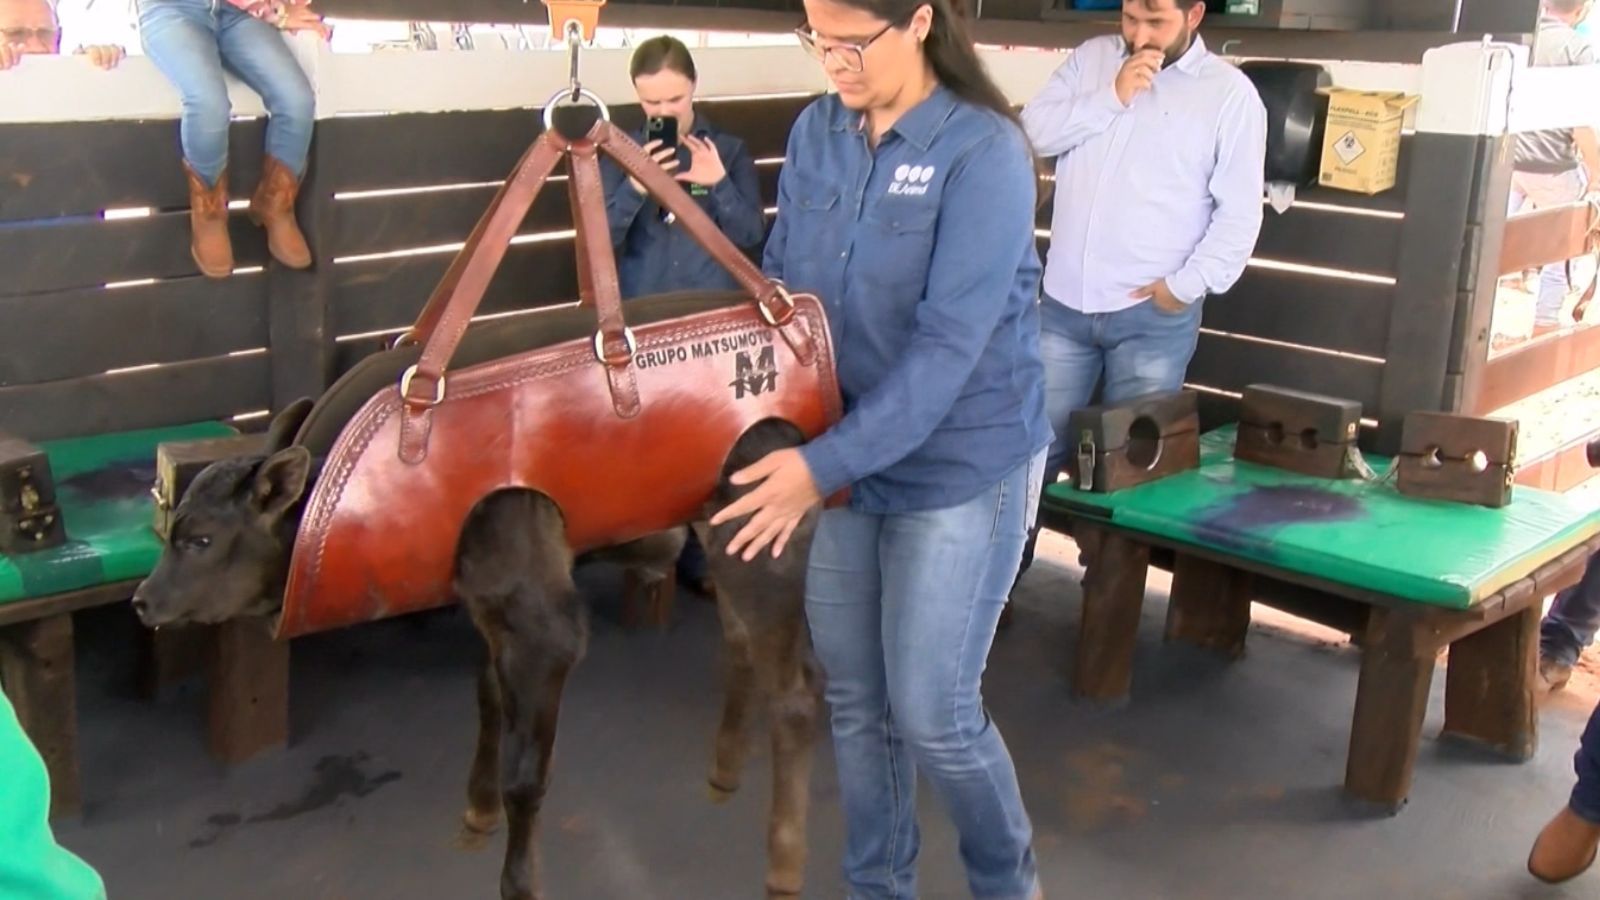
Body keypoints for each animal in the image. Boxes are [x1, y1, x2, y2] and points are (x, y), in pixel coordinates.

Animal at [131, 400, 819, 896]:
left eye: (200, 538)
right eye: (171, 523)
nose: (141, 600)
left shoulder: (548, 632)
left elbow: (527, 774)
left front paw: (519, 881)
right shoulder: (488, 611)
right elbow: (487, 698)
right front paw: (477, 810)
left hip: (768, 543)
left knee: (799, 690)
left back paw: (784, 866)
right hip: (724, 535)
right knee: (742, 643)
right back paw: (725, 770)